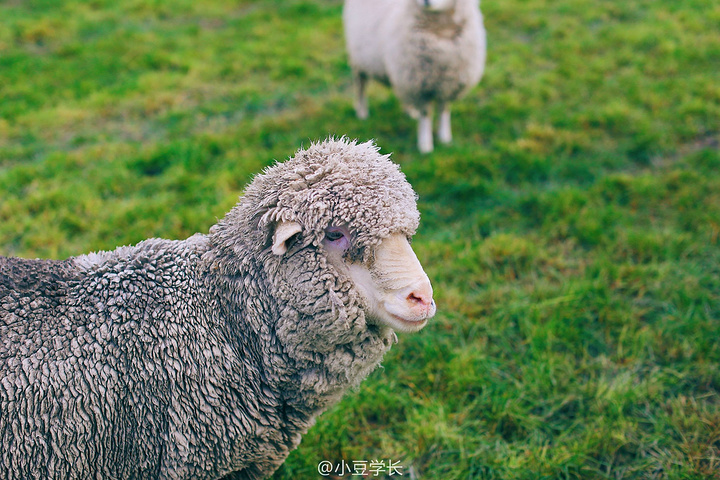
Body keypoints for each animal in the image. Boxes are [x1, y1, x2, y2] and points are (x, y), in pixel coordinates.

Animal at [344, 0, 490, 152]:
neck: (440, 29)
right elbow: (426, 114)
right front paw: (425, 145)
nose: (426, 1)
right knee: (360, 84)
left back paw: (410, 110)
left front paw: (445, 138)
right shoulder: (420, 85)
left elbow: (444, 109)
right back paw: (362, 111)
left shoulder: (447, 83)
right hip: (361, 57)